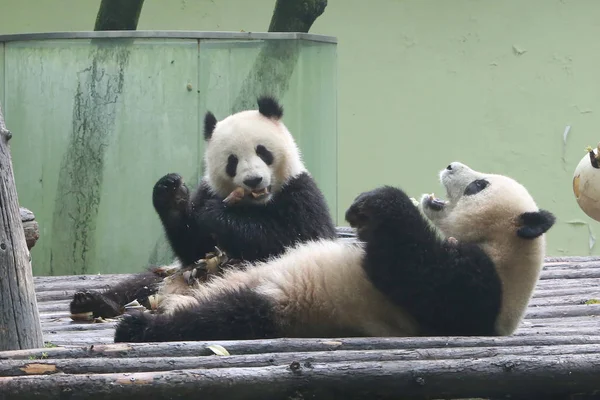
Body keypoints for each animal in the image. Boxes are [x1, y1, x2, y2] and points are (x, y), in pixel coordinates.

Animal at [68, 94, 338, 318]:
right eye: (232, 161)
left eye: (262, 151)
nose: (253, 180)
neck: (255, 202)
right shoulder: (206, 192)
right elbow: (193, 247)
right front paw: (171, 193)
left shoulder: (301, 194)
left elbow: (294, 238)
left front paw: (218, 215)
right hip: (170, 273)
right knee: (139, 282)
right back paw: (94, 301)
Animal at [113, 159, 556, 340]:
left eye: (480, 184)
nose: (451, 165)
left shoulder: (481, 290)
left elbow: (414, 273)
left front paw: (378, 203)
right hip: (228, 269)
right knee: (200, 260)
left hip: (285, 304)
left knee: (223, 317)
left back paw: (140, 327)